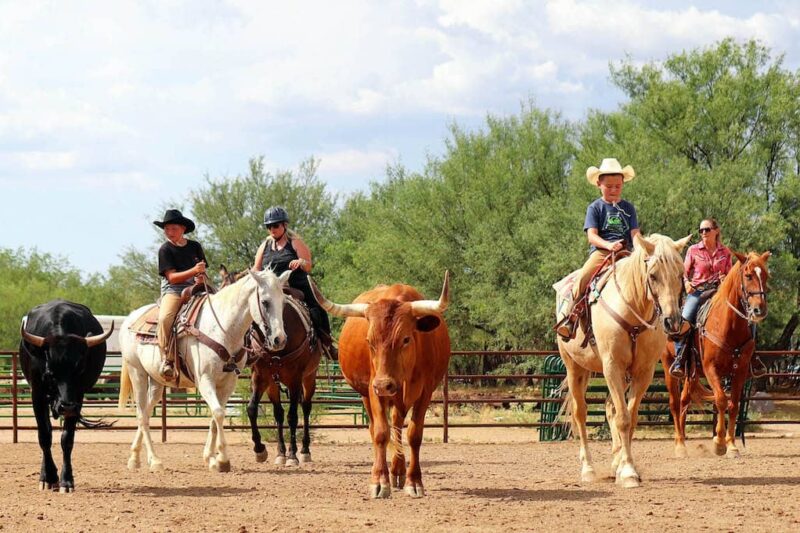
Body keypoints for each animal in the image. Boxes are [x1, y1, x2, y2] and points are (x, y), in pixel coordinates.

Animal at [117, 268, 292, 472]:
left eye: (283, 302)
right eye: (265, 302)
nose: (280, 339)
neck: (223, 330)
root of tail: (130, 318)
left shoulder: (228, 383)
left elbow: (216, 417)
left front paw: (211, 457)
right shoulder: (205, 380)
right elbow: (218, 413)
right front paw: (222, 459)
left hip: (157, 381)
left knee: (145, 411)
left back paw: (135, 457)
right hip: (137, 373)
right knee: (141, 415)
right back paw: (154, 460)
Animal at [660, 250, 772, 458]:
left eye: (766, 276)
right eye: (748, 275)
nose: (759, 309)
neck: (728, 325)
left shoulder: (740, 371)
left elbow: (733, 405)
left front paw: (732, 445)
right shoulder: (711, 368)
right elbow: (720, 400)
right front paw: (719, 443)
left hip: (692, 374)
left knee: (684, 401)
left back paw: (684, 441)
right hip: (669, 366)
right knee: (674, 403)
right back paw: (679, 445)